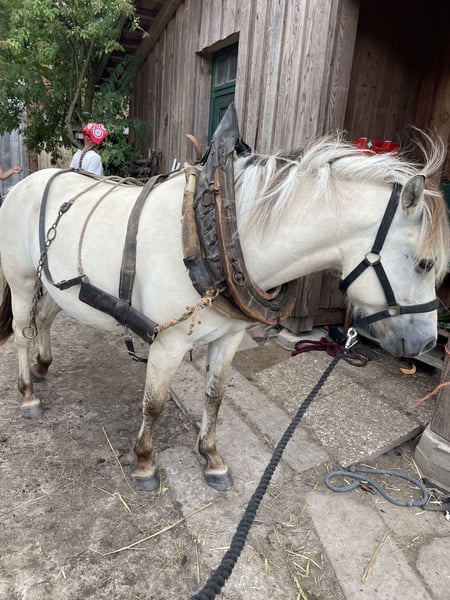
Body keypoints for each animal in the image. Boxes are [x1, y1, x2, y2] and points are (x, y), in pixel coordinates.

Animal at [0, 131, 448, 492]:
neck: (213, 235)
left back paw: (42, 366)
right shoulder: (167, 343)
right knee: (22, 331)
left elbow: (214, 396)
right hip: (21, 281)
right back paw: (27, 394)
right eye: (424, 264)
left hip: (55, 287)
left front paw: (211, 458)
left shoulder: (229, 337)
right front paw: (144, 463)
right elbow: (154, 403)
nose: (428, 342)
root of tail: (26, 183)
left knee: (44, 321)